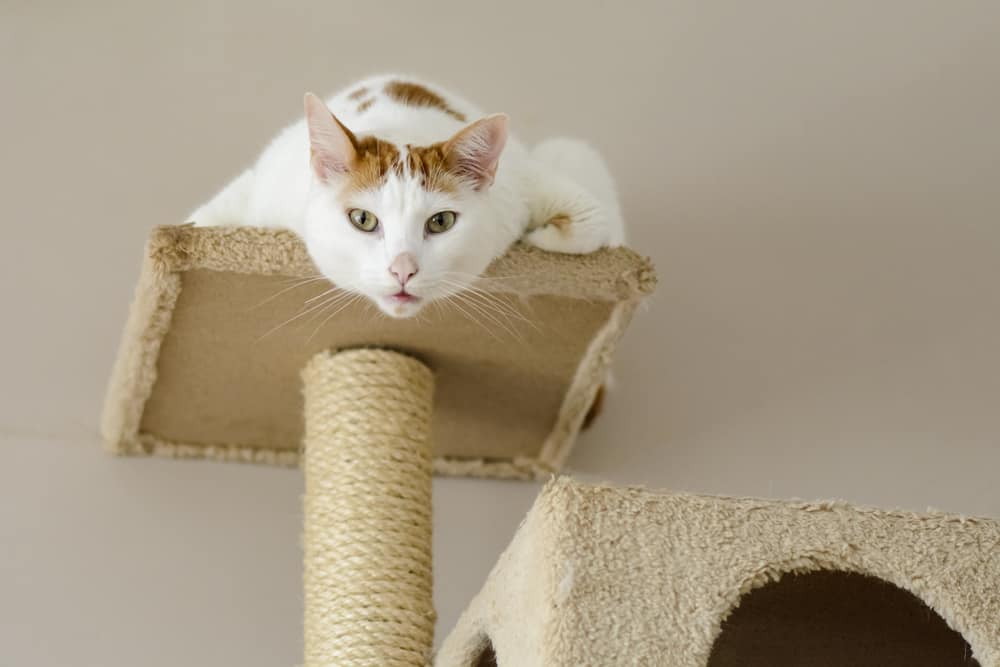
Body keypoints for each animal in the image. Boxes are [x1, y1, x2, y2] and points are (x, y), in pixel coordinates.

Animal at [190, 74, 620, 320]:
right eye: (362, 219)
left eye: (441, 221)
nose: (402, 270)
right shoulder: (265, 187)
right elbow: (200, 222)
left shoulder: (525, 181)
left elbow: (592, 222)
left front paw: (537, 235)